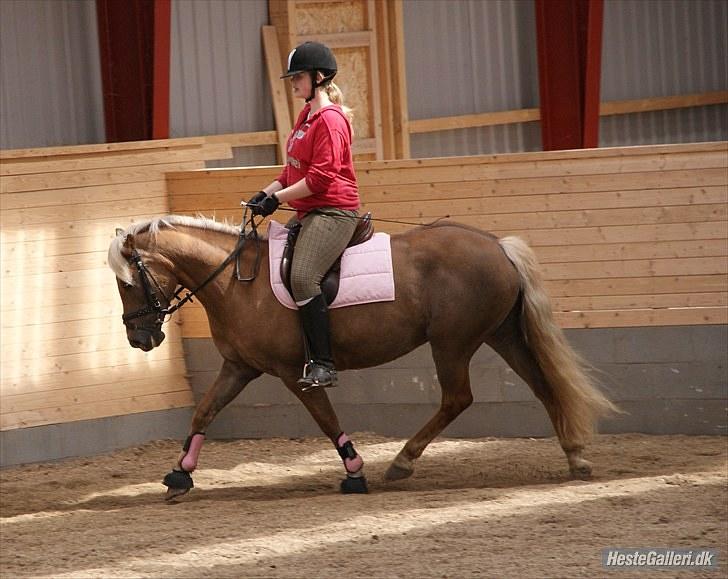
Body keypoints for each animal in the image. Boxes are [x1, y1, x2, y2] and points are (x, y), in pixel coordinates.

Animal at [108, 214, 617, 499]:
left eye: (128, 282)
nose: (138, 339)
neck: (237, 280)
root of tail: (497, 245)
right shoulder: (240, 367)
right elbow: (204, 413)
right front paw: (179, 475)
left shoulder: (294, 373)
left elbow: (327, 420)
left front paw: (354, 473)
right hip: (501, 334)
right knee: (542, 384)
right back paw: (575, 457)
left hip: (453, 342)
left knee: (458, 398)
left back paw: (402, 462)